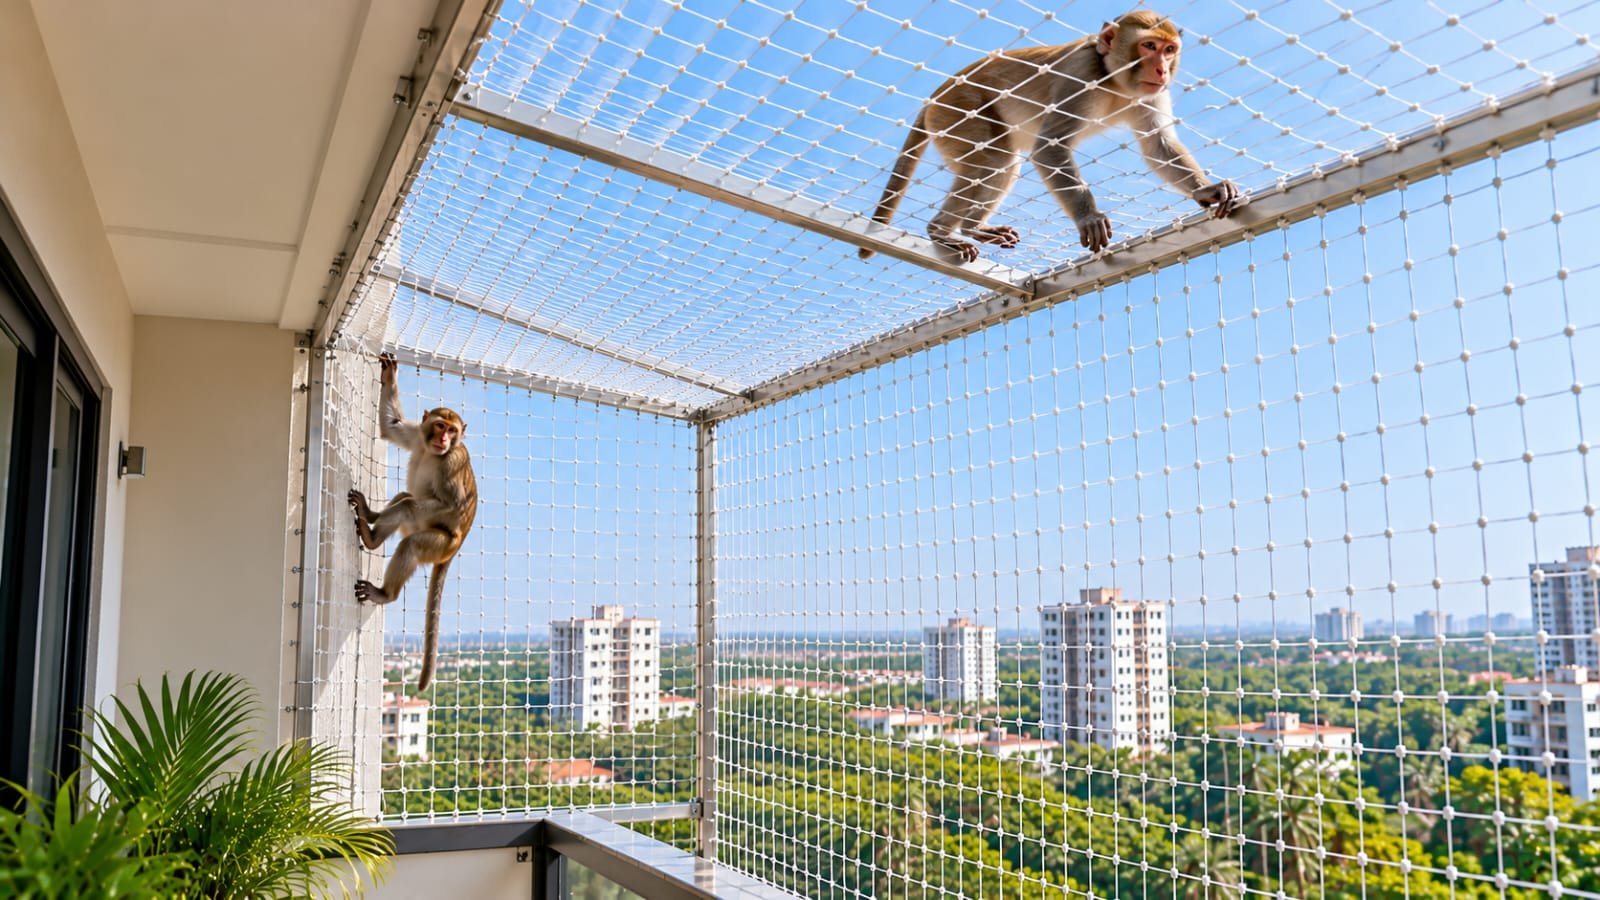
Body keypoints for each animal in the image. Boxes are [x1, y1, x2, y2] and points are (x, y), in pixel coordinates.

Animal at [348, 352, 477, 692]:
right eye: (439, 425)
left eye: (452, 431)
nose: (443, 438)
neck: (433, 452)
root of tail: (456, 547)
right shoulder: (417, 437)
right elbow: (392, 428)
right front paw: (389, 375)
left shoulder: (452, 462)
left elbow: (452, 504)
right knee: (405, 498)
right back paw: (372, 527)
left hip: (440, 542)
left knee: (411, 533)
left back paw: (385, 590)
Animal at [859, 10, 1238, 262]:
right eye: (1148, 45)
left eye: (1169, 50)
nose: (1161, 70)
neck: (1114, 80)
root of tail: (934, 98)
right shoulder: (1080, 77)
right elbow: (1049, 146)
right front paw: (1089, 216)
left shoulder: (1150, 93)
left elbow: (1157, 144)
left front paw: (1206, 189)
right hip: (957, 111)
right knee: (995, 158)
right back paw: (942, 232)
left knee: (1003, 163)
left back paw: (972, 228)